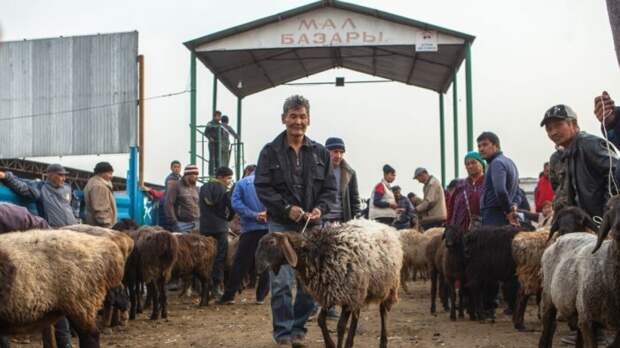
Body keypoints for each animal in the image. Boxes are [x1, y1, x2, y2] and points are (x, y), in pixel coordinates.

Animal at [256, 220, 404, 348]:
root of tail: (383, 225)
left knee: (383, 311)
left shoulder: (345, 294)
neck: (316, 252)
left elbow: (340, 326)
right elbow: (321, 320)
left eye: (271, 242)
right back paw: (349, 343)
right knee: (357, 313)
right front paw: (330, 344)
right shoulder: (328, 293)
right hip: (360, 290)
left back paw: (383, 342)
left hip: (388, 286)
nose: (259, 267)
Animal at [540, 196, 620, 348]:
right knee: (547, 330)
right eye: (609, 208)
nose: (618, 230)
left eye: (581, 219)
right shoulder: (588, 320)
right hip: (548, 297)